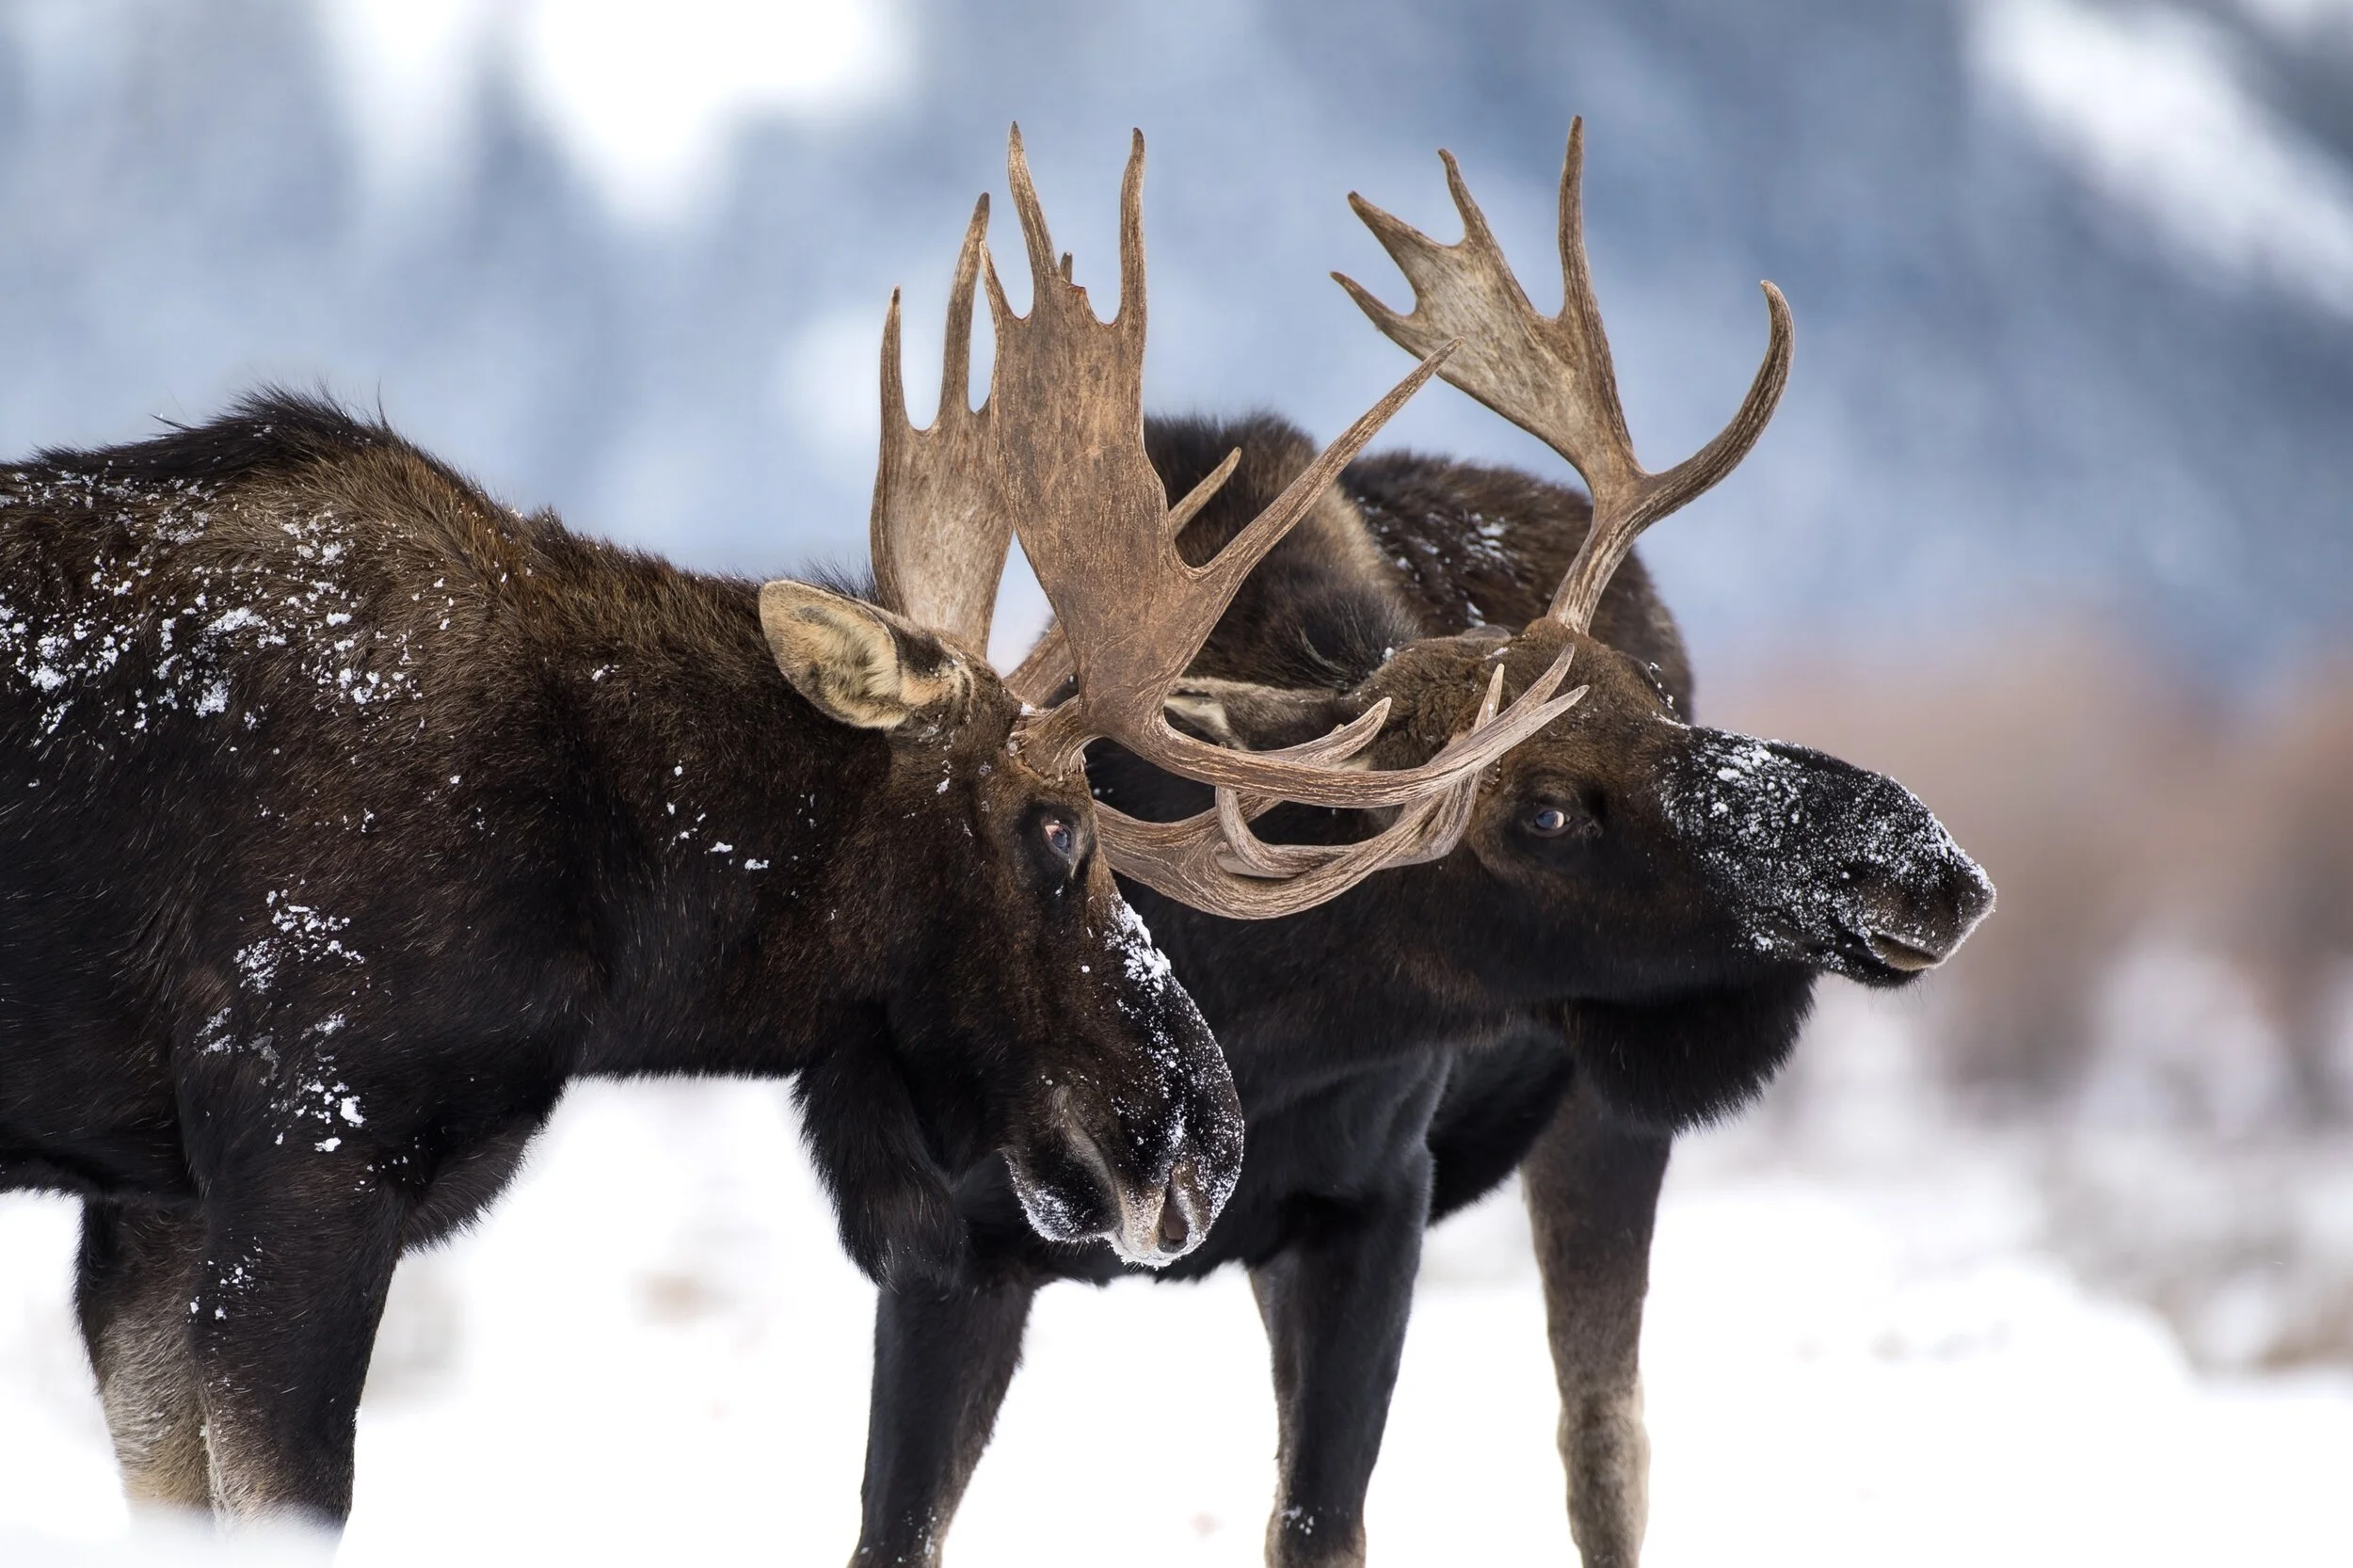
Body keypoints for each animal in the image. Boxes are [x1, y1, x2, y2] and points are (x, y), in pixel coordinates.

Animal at [847, 122, 1993, 1568]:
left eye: (1650, 703)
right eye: (1543, 806)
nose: (1919, 861)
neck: (1245, 1024)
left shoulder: (1374, 1205)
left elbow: (1321, 1524)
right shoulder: (947, 1247)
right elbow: (894, 1531)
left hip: (1605, 1118)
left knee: (1605, 1443)